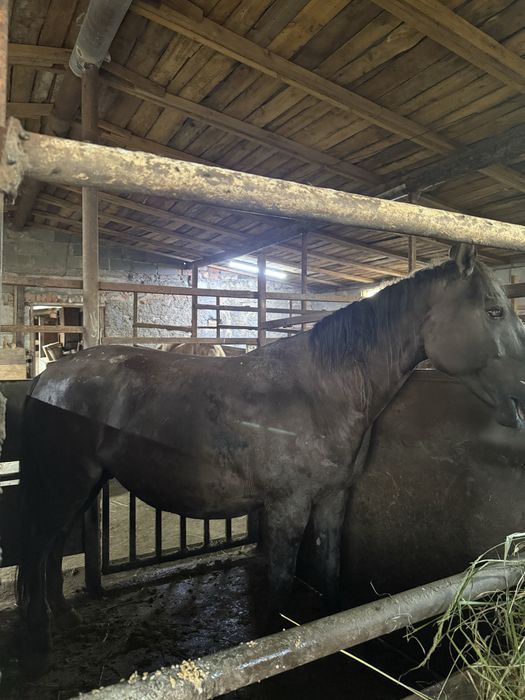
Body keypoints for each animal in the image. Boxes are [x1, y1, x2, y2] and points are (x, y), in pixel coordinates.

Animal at [16, 244, 525, 667]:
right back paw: (38, 643)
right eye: (494, 310)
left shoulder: (334, 499)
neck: (322, 391)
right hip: (67, 484)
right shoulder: (288, 506)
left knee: (53, 546)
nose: (521, 397)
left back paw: (64, 619)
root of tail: (49, 377)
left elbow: (330, 566)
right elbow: (281, 583)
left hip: (84, 486)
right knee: (37, 547)